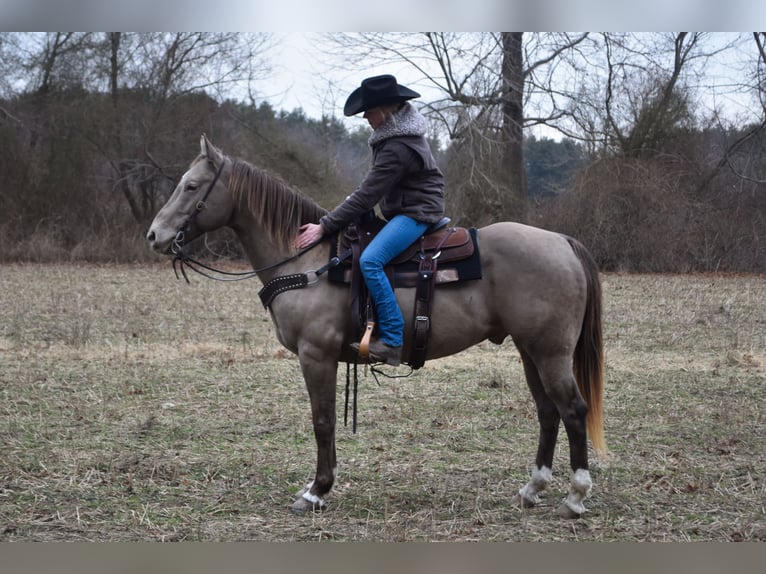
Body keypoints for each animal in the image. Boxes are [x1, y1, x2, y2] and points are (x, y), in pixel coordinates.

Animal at [147, 134, 606, 518]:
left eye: (191, 186)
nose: (155, 235)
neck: (308, 260)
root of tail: (562, 242)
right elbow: (328, 421)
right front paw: (323, 486)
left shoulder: (316, 355)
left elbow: (323, 420)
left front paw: (316, 491)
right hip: (530, 350)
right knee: (548, 412)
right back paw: (533, 489)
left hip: (550, 352)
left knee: (572, 409)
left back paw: (575, 496)